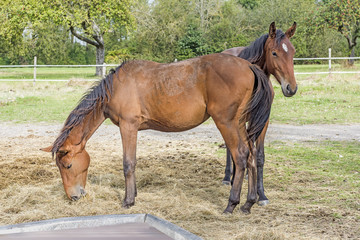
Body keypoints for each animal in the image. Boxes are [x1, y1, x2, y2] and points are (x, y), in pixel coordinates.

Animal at [41, 53, 272, 214]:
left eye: (67, 165)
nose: (74, 197)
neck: (115, 88)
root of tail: (249, 65)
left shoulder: (128, 126)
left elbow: (128, 164)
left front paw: (128, 201)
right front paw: (133, 195)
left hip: (227, 123)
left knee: (240, 156)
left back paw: (232, 204)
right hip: (240, 124)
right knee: (251, 156)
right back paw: (248, 204)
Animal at [222, 21, 298, 205]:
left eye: (293, 52)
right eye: (274, 53)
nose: (291, 88)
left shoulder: (263, 121)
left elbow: (259, 156)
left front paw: (261, 194)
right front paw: (235, 181)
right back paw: (227, 177)